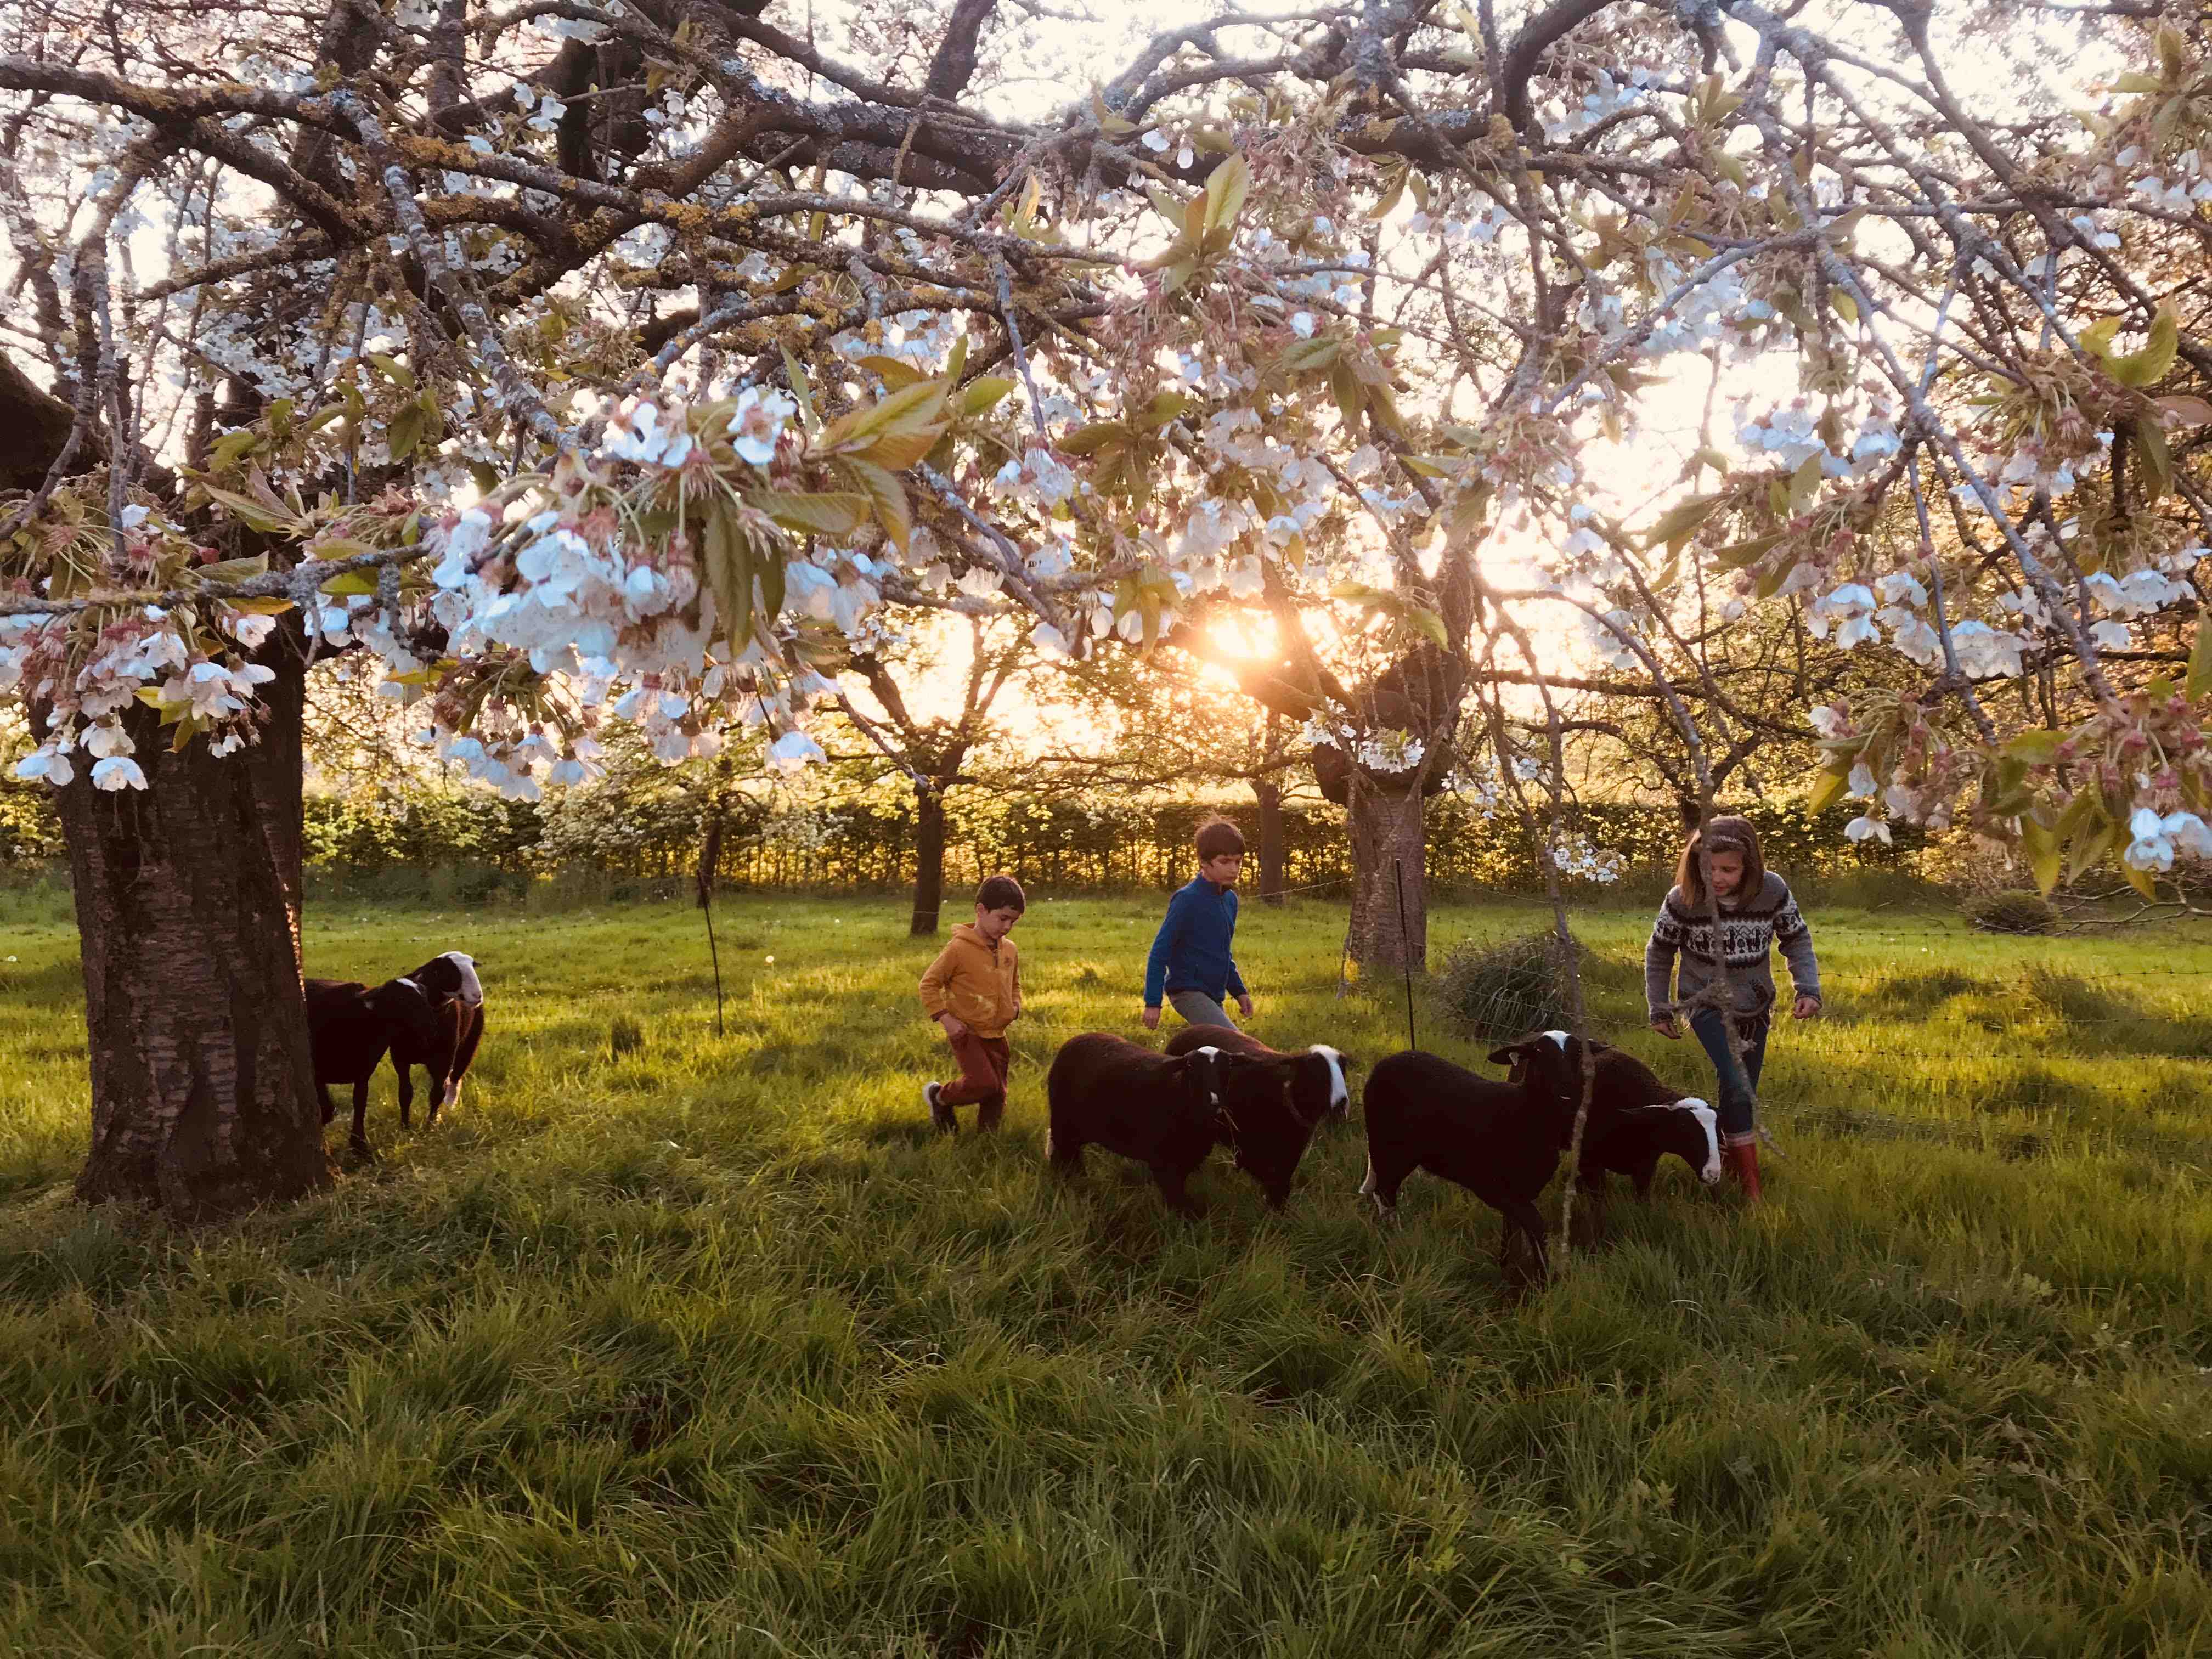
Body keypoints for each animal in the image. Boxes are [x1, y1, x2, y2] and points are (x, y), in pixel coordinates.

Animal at [1044, 1040, 1300, 1221]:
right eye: (1190, 1066)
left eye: (1227, 1066)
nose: (1214, 1103)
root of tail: (1075, 1040)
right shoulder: (1162, 1162)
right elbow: (1177, 1200)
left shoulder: (1186, 1158)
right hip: (1062, 1122)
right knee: (1061, 1156)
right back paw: (1064, 1185)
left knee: (1072, 1155)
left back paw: (1080, 1179)